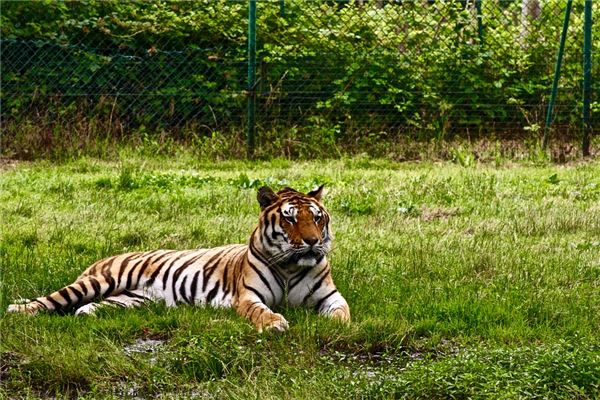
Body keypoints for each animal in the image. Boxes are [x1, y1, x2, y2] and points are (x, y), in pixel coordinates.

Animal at [7, 184, 350, 332]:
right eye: (290, 219)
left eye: (317, 218)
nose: (312, 242)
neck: (292, 267)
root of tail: (99, 261)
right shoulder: (248, 297)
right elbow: (261, 312)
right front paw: (275, 322)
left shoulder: (330, 296)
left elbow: (341, 312)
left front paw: (337, 326)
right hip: (97, 281)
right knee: (50, 300)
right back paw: (18, 310)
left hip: (129, 300)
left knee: (86, 308)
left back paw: (85, 314)